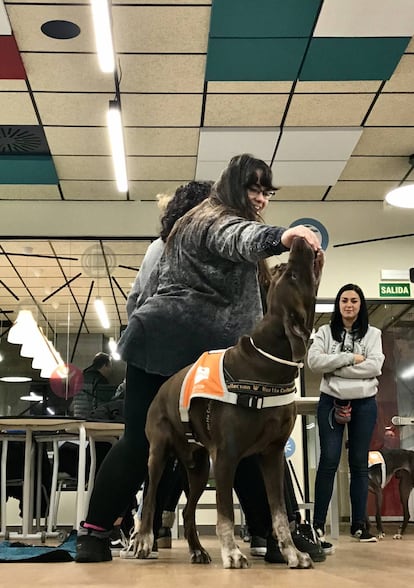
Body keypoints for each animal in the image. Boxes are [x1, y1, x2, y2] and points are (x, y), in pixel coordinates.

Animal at [136, 237, 324, 568]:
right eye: (290, 274)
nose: (301, 240)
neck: (267, 362)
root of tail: (162, 388)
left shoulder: (272, 455)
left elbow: (277, 513)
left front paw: (291, 552)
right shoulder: (226, 455)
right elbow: (224, 513)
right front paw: (233, 552)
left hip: (198, 467)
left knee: (188, 511)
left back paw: (197, 549)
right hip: (159, 453)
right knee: (150, 499)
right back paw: (145, 541)